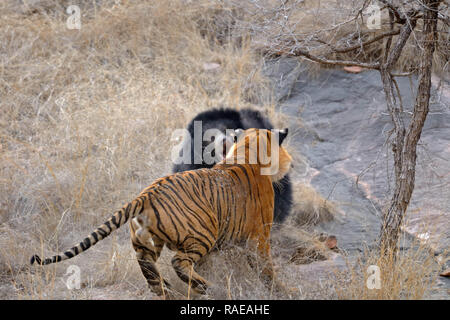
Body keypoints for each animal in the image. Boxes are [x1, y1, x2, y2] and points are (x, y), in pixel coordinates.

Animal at [30, 127, 292, 296]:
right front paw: (280, 290)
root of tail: (146, 194)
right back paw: (203, 287)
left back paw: (168, 290)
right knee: (179, 262)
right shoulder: (259, 237)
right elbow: (266, 268)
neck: (247, 150)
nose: (290, 160)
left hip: (146, 242)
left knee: (148, 267)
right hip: (202, 233)